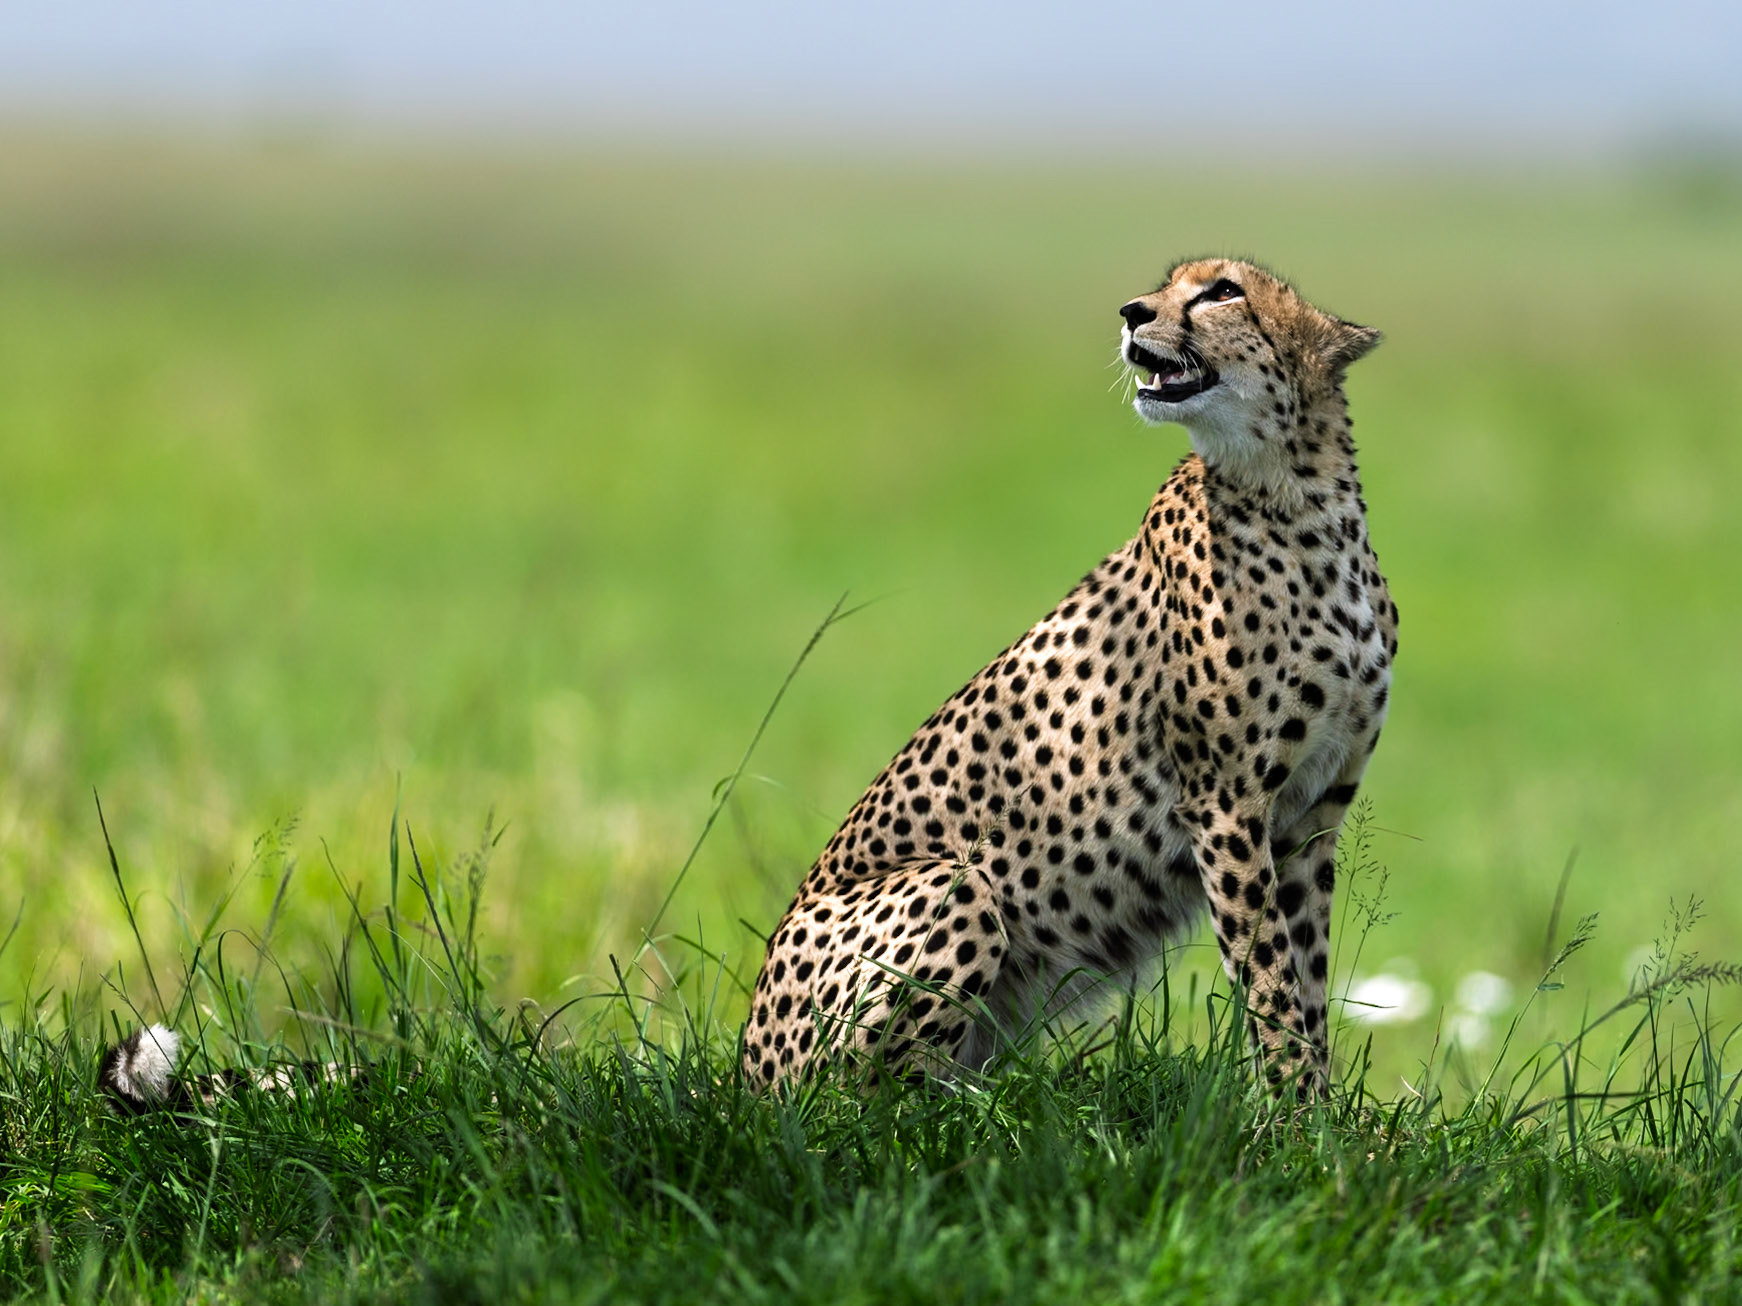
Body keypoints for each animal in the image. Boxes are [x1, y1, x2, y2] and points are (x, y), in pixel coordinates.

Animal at [742, 257, 1397, 1094]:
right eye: (1169, 284)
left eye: (1223, 291)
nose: (1131, 311)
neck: (1298, 498)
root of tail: (746, 1068)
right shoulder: (1226, 805)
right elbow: (1272, 982)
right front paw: (1293, 1110)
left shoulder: (1312, 816)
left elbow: (1306, 983)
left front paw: (1322, 1110)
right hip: (956, 887)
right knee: (863, 1100)